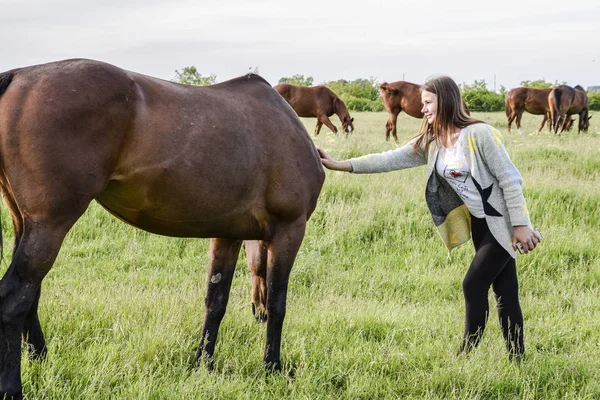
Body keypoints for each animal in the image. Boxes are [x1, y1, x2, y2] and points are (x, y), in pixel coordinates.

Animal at [0, 57, 326, 398]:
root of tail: (19, 76)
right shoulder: (289, 230)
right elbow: (277, 303)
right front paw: (272, 368)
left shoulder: (227, 235)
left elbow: (216, 301)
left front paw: (203, 365)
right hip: (50, 224)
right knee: (15, 297)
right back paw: (12, 387)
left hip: (25, 223)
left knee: (31, 293)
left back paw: (40, 358)